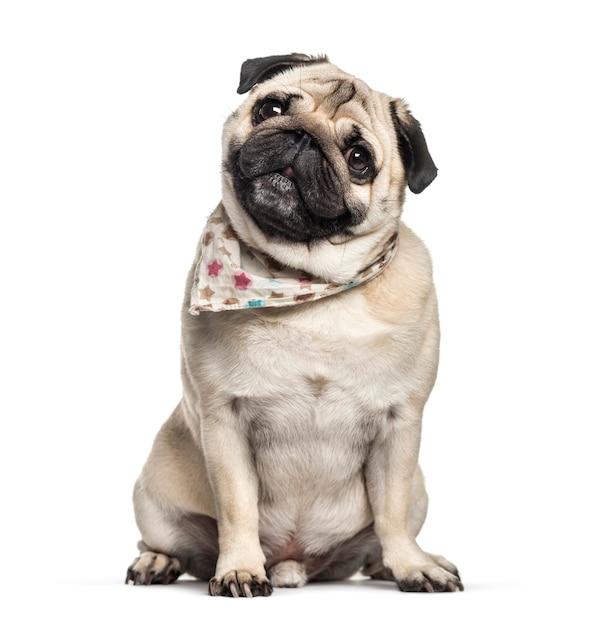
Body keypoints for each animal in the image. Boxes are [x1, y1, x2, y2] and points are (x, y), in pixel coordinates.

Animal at [125, 53, 464, 596]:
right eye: (272, 108)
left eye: (359, 158)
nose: (304, 136)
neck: (310, 284)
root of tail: (296, 563)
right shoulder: (224, 420)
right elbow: (237, 507)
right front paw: (240, 568)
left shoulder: (400, 426)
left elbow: (389, 512)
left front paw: (412, 567)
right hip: (152, 496)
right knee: (166, 541)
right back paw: (158, 561)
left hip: (419, 492)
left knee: (387, 530)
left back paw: (402, 561)